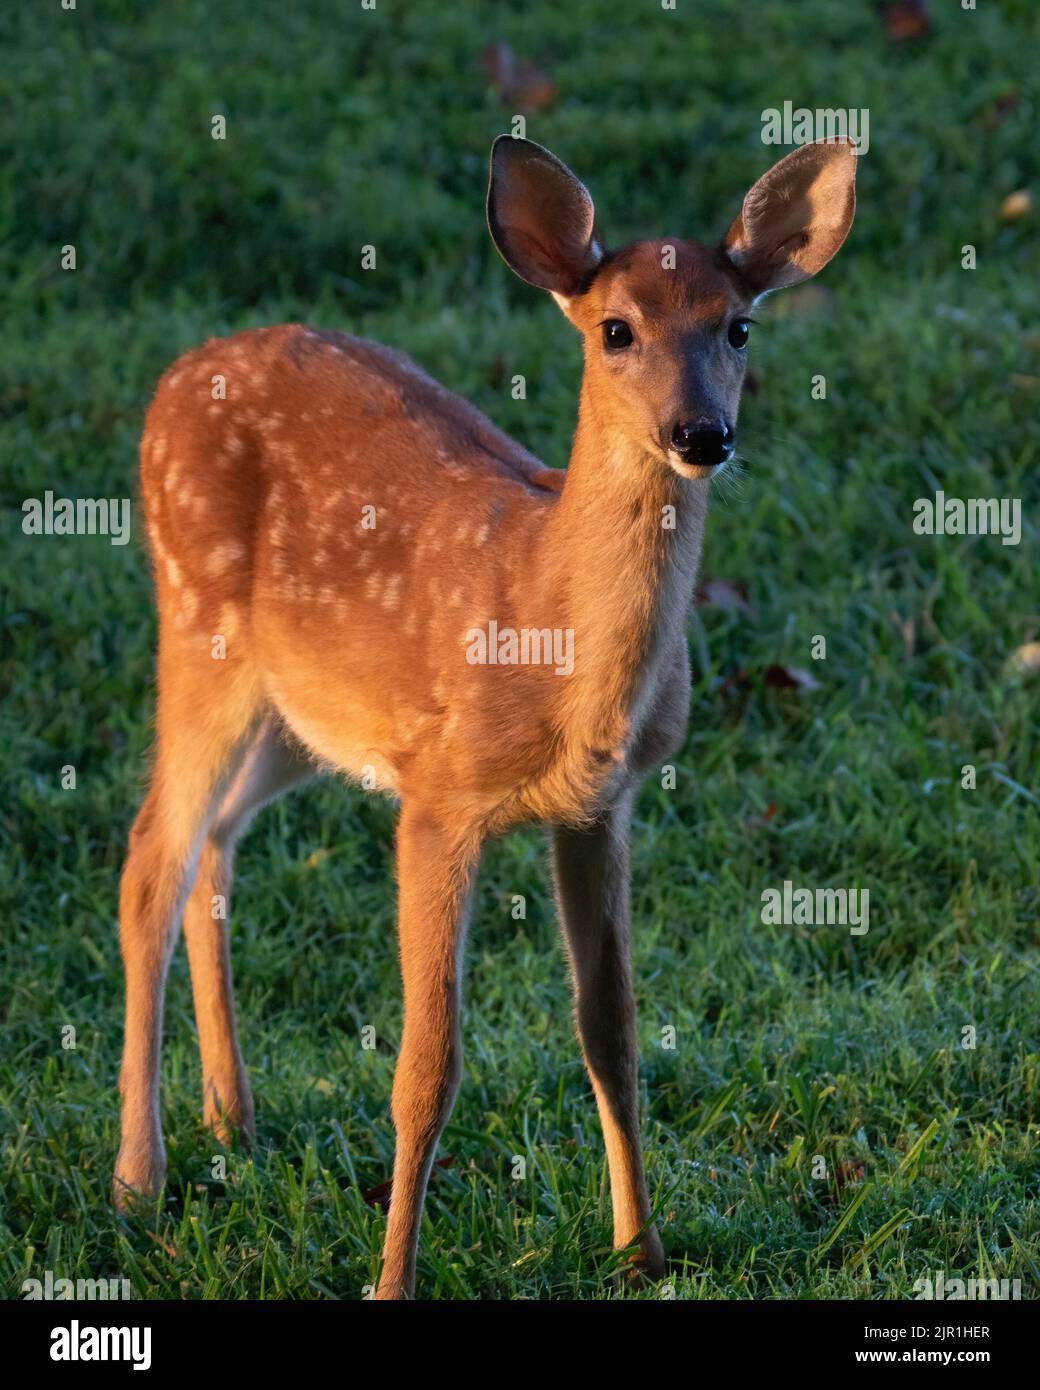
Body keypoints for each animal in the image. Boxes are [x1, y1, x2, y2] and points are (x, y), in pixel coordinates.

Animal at [115, 134, 856, 1298]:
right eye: (615, 330)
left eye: (738, 326)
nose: (701, 432)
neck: (550, 632)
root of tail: (176, 375)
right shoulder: (436, 798)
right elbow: (427, 1068)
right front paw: (391, 1282)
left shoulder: (601, 805)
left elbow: (611, 1030)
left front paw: (639, 1250)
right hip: (196, 633)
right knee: (151, 855)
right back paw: (138, 1181)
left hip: (295, 715)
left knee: (214, 844)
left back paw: (232, 1120)